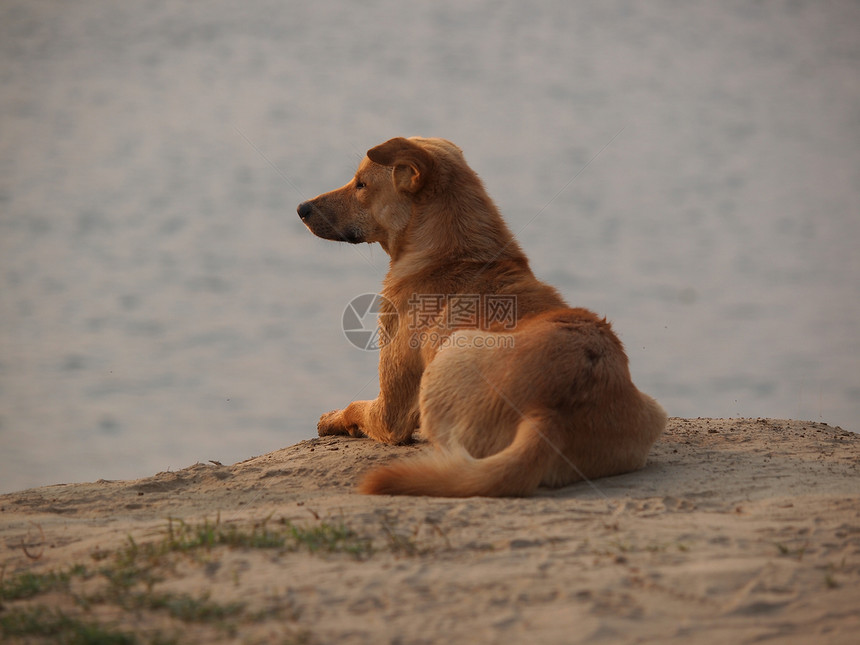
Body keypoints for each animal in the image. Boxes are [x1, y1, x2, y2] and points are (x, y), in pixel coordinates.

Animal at [298, 137, 668, 498]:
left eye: (361, 184)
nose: (301, 208)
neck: (451, 255)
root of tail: (547, 414)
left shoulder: (391, 412)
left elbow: (355, 407)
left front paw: (330, 419)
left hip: (450, 353)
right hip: (654, 410)